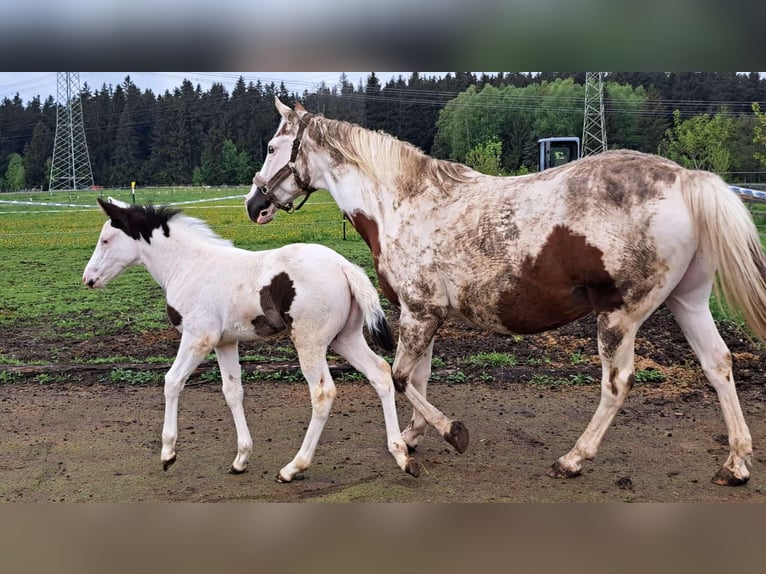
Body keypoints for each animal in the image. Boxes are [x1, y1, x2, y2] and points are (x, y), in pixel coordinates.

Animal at [82, 197, 452, 482]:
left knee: (323, 393)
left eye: (105, 239)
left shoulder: (198, 337)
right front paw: (241, 459)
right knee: (381, 374)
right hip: (345, 339)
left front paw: (168, 452)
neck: (189, 266)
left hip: (309, 342)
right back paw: (401, 455)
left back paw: (294, 468)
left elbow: (172, 381)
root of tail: (346, 267)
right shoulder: (224, 342)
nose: (88, 279)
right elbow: (233, 392)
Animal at [245, 97, 766, 486]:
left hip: (620, 316)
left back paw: (573, 459)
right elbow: (418, 378)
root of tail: (685, 178)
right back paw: (736, 464)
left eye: (271, 146)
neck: (402, 203)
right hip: (688, 302)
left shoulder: (418, 312)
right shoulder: (427, 316)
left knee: (617, 384)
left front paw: (449, 432)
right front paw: (414, 436)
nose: (254, 204)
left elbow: (399, 378)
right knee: (719, 365)